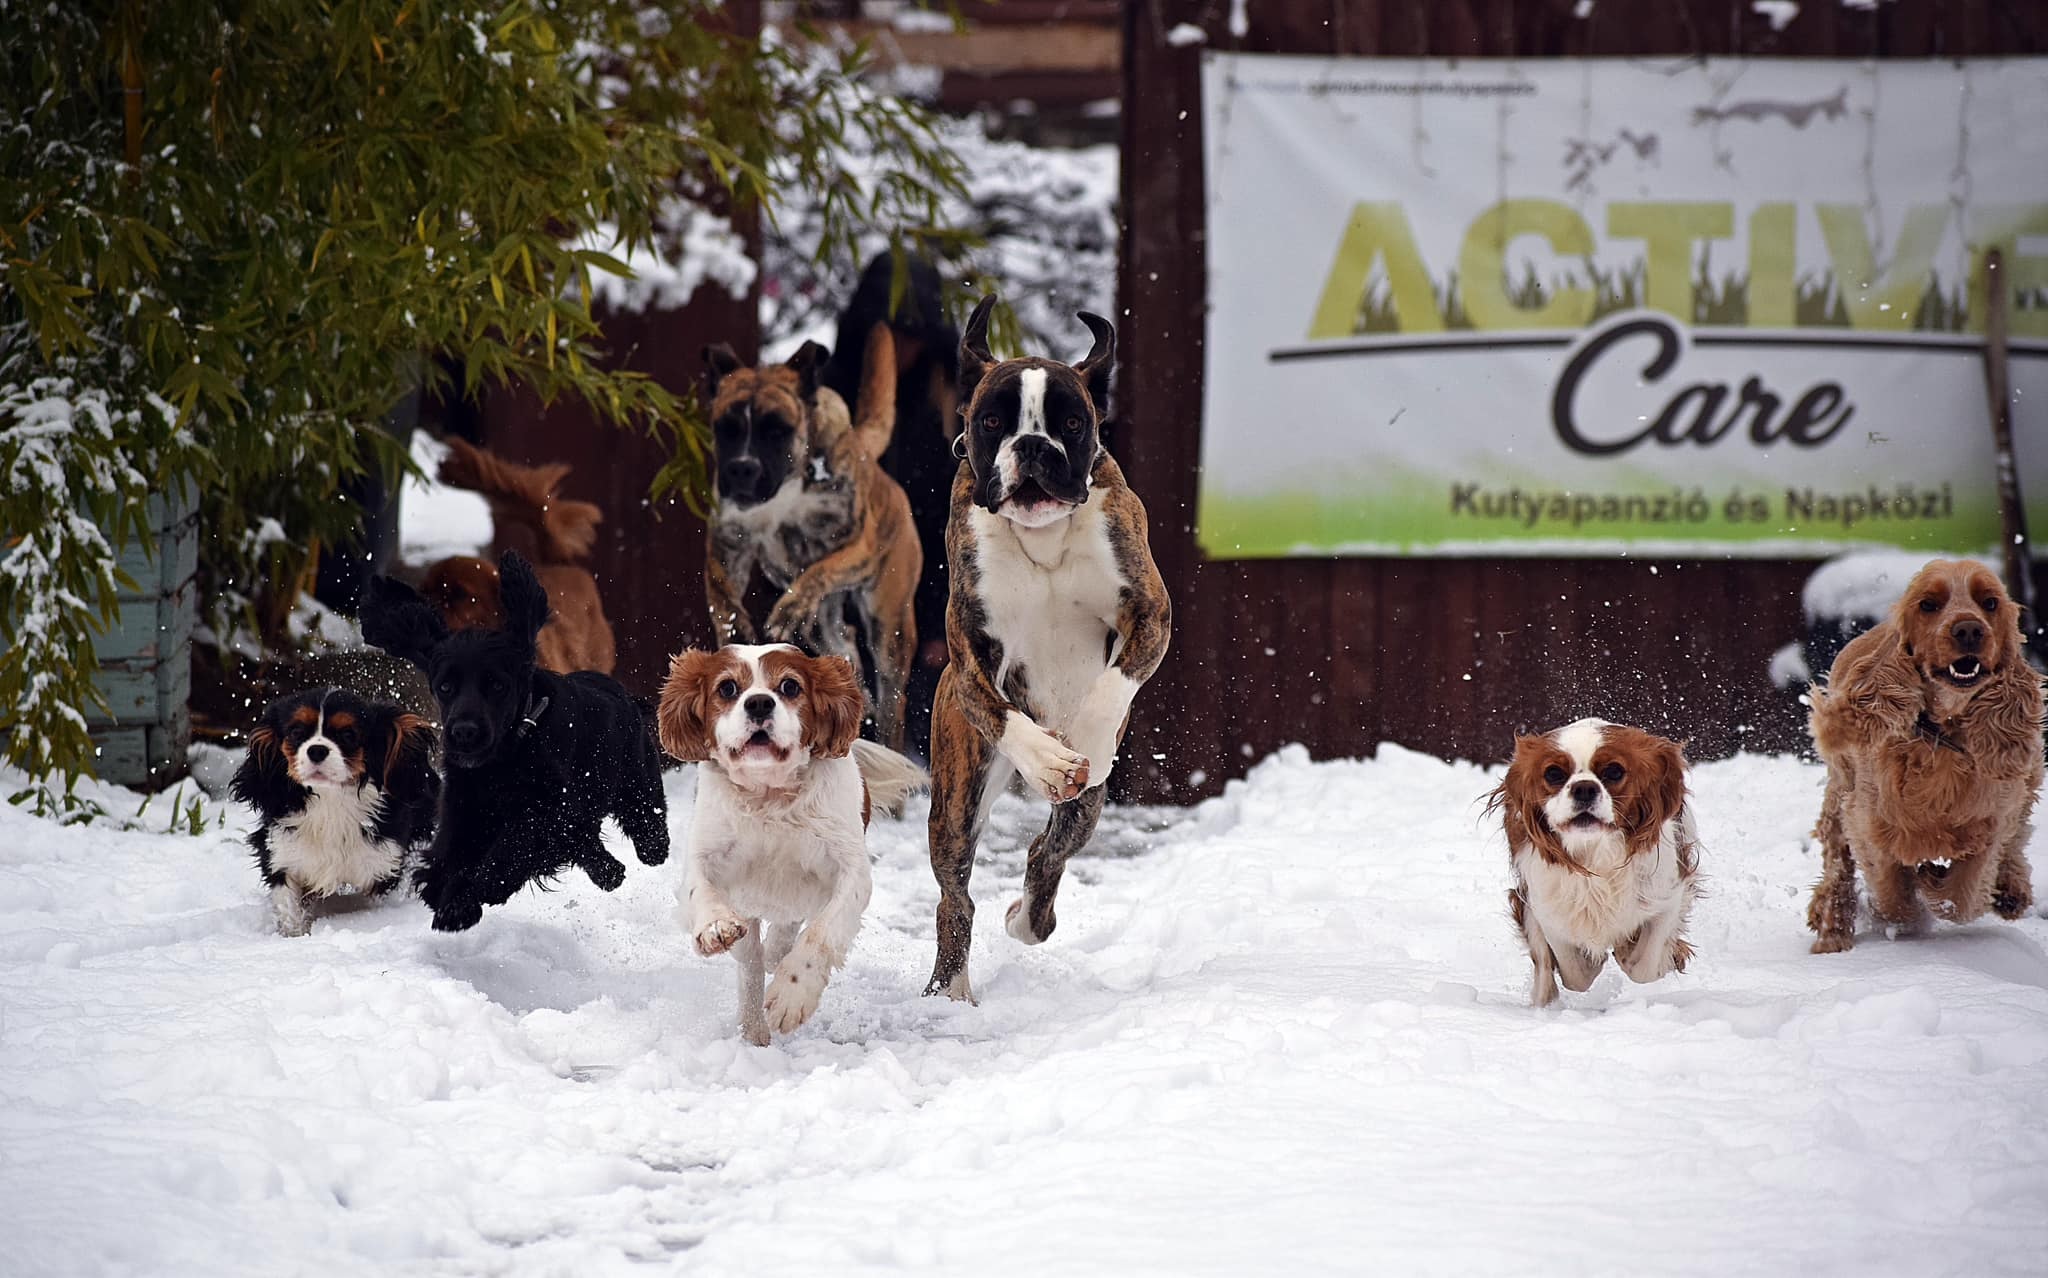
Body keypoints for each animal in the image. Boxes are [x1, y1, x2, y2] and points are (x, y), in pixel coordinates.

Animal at [708, 323, 925, 757]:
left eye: (776, 429)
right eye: (726, 429)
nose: (741, 468)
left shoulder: (859, 545)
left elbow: (820, 571)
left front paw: (789, 606)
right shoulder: (726, 540)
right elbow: (722, 593)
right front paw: (734, 627)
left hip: (889, 624)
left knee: (891, 693)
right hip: (823, 628)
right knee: (843, 645)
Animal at [925, 296, 1171, 999]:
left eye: (1071, 421)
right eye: (991, 421)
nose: (1033, 446)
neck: (1043, 537)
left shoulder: (1150, 613)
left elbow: (1112, 685)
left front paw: (1081, 738)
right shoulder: (969, 651)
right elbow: (1002, 711)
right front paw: (1049, 760)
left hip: (1087, 809)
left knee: (1049, 851)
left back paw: (1026, 917)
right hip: (957, 797)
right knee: (954, 898)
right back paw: (950, 989)